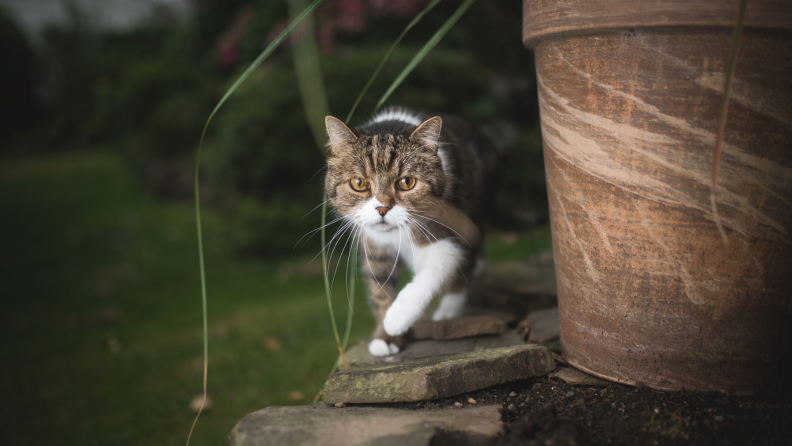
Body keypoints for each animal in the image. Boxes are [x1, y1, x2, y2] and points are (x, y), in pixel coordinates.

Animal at [322, 107, 496, 356]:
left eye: (407, 182)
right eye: (359, 183)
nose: (382, 208)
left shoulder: (443, 230)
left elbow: (435, 269)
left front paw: (396, 319)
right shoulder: (375, 245)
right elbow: (380, 288)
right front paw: (385, 337)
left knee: (468, 259)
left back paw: (450, 308)